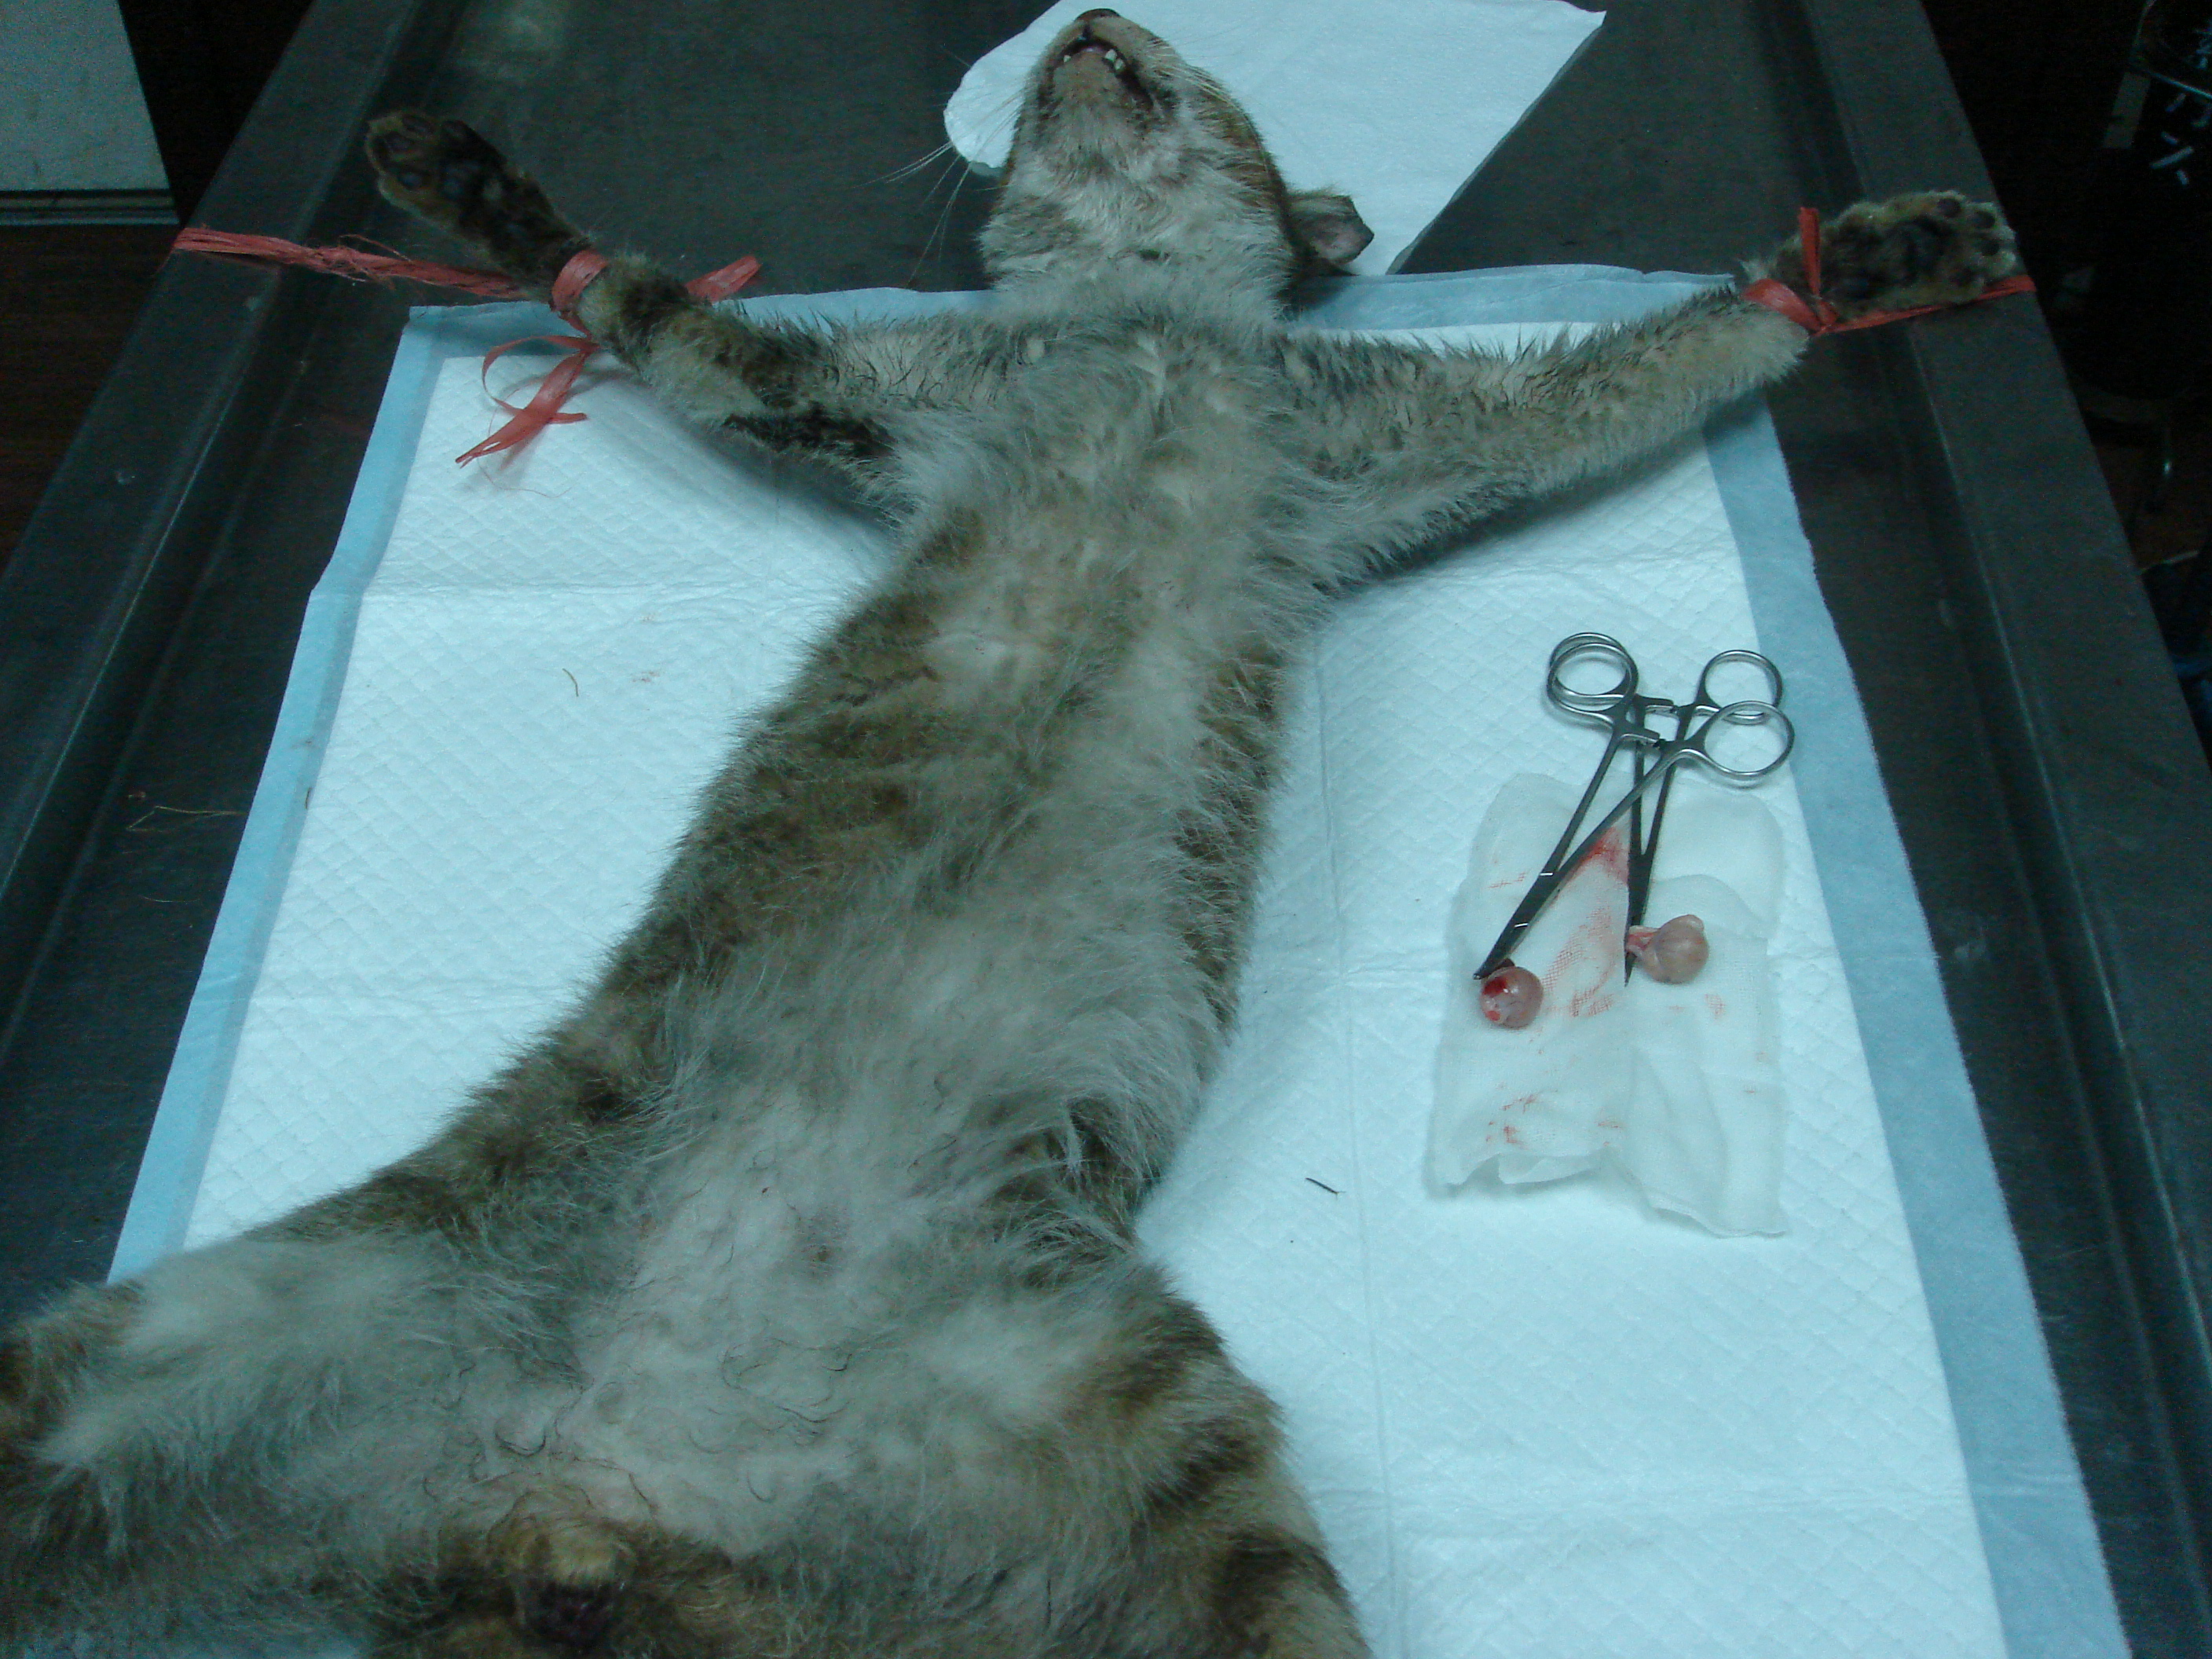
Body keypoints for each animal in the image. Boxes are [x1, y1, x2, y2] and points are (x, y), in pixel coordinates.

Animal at [0, 11, 2020, 1656]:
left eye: (1198, 71)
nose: (1094, 16)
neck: (1141, 323)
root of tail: (586, 1490)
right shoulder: (887, 394)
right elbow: (657, 313)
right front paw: (486, 198)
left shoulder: (1372, 425)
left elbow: (1628, 372)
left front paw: (1857, 264)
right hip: (211, 1333)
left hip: (1150, 1442)